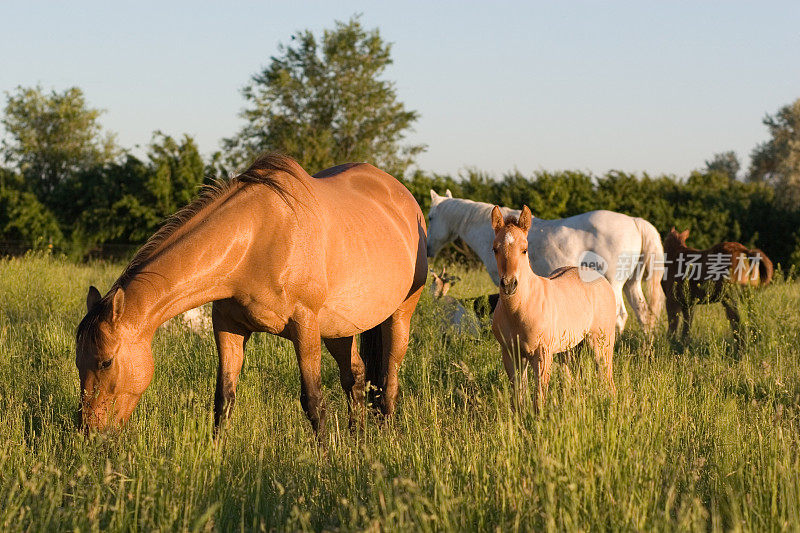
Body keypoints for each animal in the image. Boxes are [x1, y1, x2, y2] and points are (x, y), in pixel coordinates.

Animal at [428, 190, 664, 332]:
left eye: (430, 217)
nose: (428, 249)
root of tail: (634, 222)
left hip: (614, 283)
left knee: (620, 316)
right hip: (632, 283)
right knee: (643, 313)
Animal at [488, 206, 620, 410]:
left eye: (524, 250)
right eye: (495, 249)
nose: (509, 285)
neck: (521, 307)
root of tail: (601, 279)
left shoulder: (542, 354)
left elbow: (539, 397)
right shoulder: (511, 354)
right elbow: (518, 396)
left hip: (601, 343)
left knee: (607, 379)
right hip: (570, 349)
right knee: (573, 379)